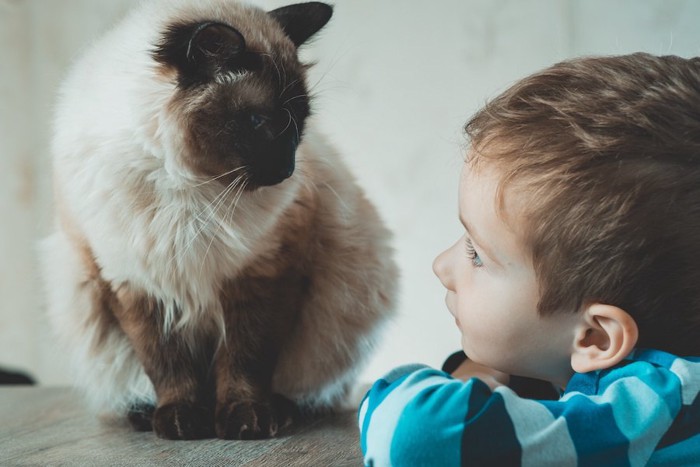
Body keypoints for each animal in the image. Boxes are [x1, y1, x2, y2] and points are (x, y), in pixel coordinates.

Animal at [41, 0, 396, 440]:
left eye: (300, 122)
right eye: (259, 123)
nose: (287, 170)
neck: (188, 191)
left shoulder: (261, 275)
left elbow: (247, 359)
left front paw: (247, 420)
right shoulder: (136, 283)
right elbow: (167, 366)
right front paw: (180, 420)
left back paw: (280, 411)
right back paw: (146, 415)